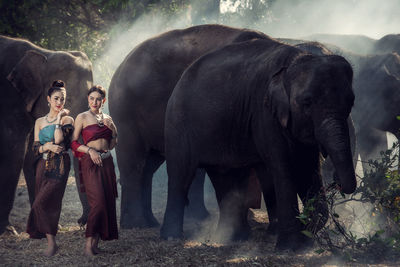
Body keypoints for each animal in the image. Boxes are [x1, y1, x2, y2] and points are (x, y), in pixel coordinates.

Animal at [0, 34, 93, 233]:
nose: (81, 222)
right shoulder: (9, 98)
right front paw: (9, 230)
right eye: (64, 101)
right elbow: (15, 151)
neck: (45, 53)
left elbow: (33, 153)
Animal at [108, 24, 270, 228]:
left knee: (149, 165)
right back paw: (137, 224)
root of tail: (120, 66)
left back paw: (151, 222)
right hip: (125, 113)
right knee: (134, 161)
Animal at [162, 37, 356, 251]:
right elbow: (283, 168)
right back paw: (171, 237)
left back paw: (233, 238)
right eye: (307, 102)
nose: (336, 181)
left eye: (351, 102)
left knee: (226, 176)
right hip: (178, 123)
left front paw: (306, 239)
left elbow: (307, 168)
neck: (294, 60)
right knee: (181, 174)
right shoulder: (264, 114)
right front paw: (288, 247)